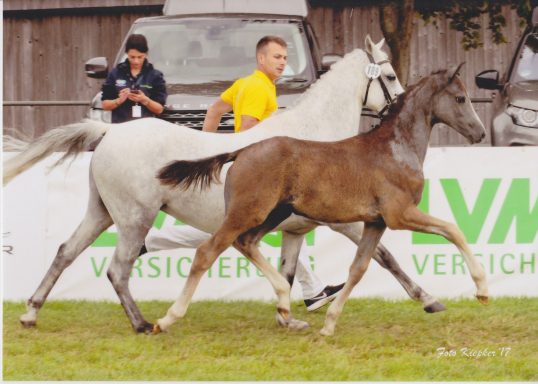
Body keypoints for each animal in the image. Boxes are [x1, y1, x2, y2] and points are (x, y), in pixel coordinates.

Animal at [154, 64, 486, 338]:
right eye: (460, 98)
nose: (480, 133)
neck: (395, 149)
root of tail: (242, 151)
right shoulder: (399, 214)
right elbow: (452, 230)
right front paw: (481, 289)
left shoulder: (375, 222)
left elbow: (359, 268)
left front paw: (329, 323)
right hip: (247, 213)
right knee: (207, 252)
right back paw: (167, 319)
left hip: (272, 215)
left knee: (246, 243)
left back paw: (284, 304)